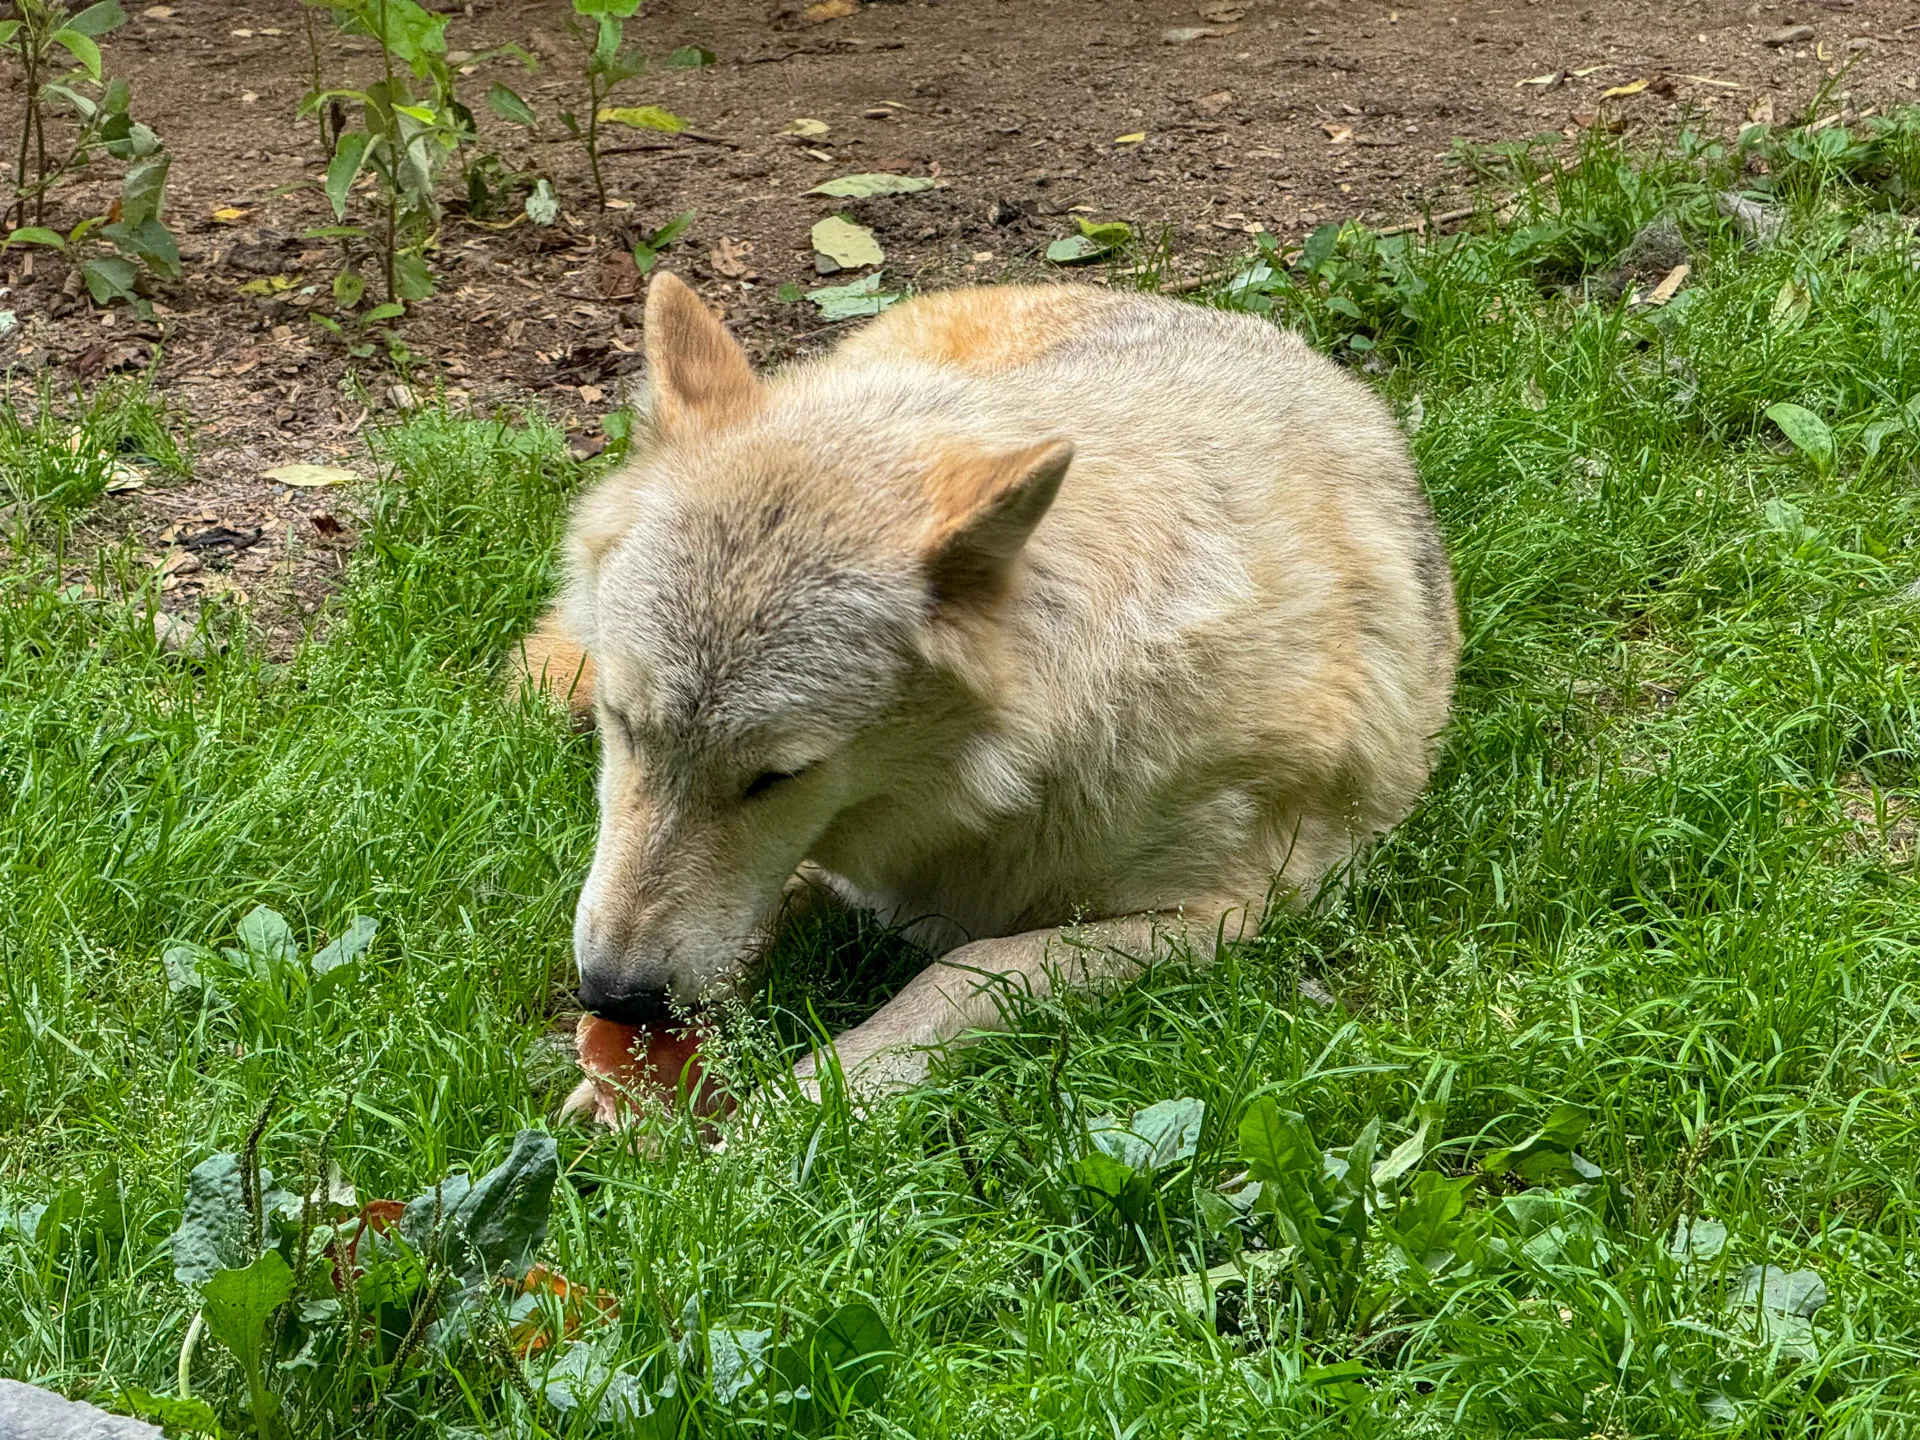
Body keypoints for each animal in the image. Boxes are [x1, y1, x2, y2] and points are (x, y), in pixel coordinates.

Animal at [520, 272, 1459, 1097]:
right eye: (623, 724)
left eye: (777, 777)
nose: (615, 996)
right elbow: (765, 906)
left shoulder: (1219, 918)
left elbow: (964, 971)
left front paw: (799, 1108)